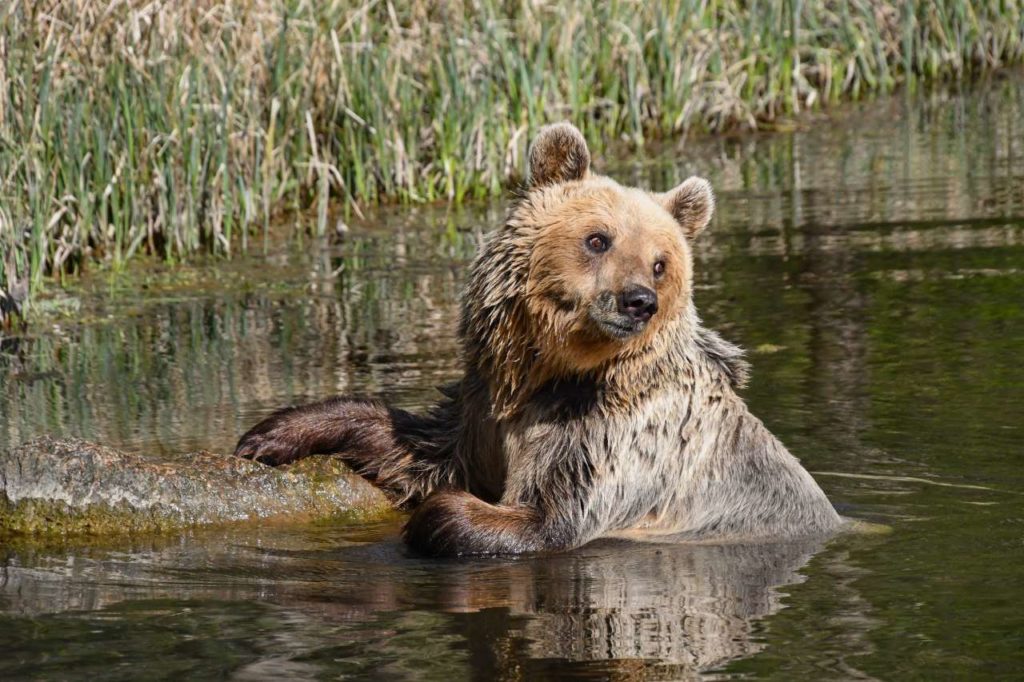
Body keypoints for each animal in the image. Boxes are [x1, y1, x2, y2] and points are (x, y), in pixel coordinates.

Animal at [235, 122, 843, 557]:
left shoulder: (618, 442)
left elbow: (548, 519)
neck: (551, 373)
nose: (638, 301)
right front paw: (273, 433)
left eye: (661, 262)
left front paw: (428, 522)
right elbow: (422, 449)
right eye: (598, 239)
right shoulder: (487, 413)